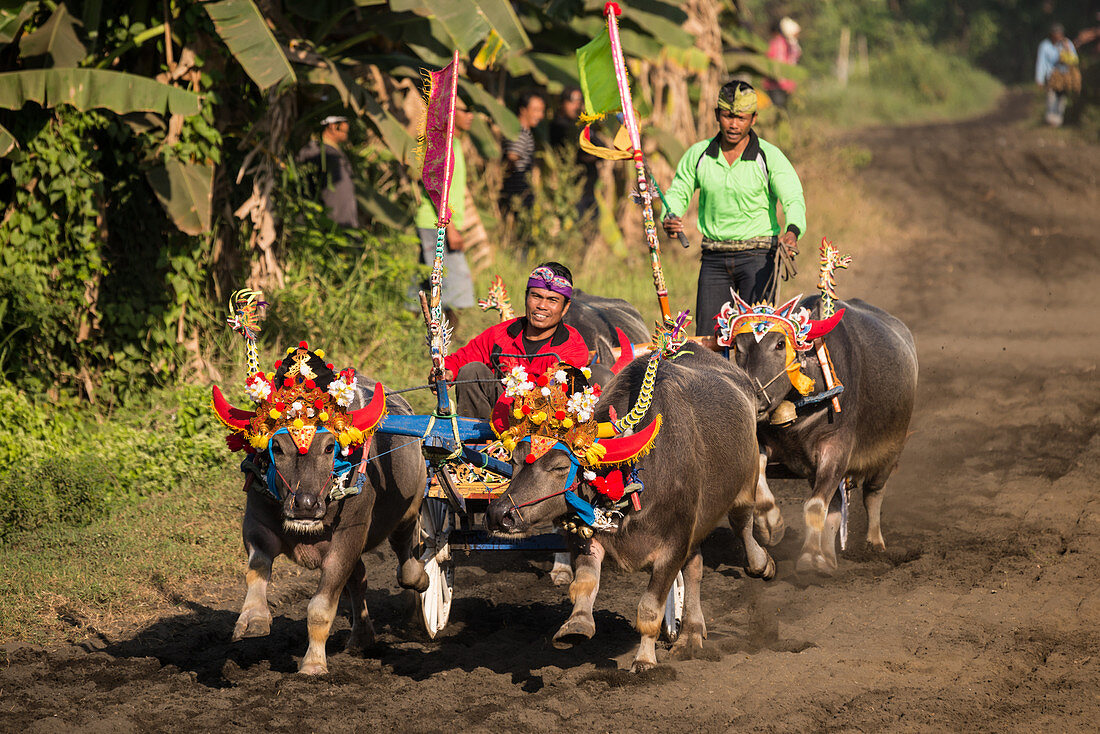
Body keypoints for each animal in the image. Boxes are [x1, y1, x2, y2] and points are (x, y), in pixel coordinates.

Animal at [212, 352, 426, 677]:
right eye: (277, 446)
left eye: (328, 447)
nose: (305, 504)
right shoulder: (257, 524)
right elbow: (256, 568)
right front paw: (254, 619)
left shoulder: (348, 537)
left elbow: (320, 607)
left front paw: (313, 663)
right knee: (360, 579)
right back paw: (361, 638)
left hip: (410, 507)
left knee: (407, 561)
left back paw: (420, 596)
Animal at [481, 349, 774, 673]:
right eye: (515, 460)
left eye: (559, 467)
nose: (499, 514)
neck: (634, 477)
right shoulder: (588, 536)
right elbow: (584, 583)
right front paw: (576, 626)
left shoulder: (674, 545)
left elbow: (650, 608)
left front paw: (644, 659)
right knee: (696, 568)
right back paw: (691, 634)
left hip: (745, 483)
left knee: (742, 524)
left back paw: (762, 563)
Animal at [721, 292, 919, 572]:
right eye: (738, 346)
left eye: (780, 344)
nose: (755, 398)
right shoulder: (765, 441)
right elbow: (759, 474)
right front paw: (770, 524)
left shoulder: (836, 449)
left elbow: (815, 506)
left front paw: (810, 556)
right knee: (835, 509)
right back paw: (828, 556)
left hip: (890, 452)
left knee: (873, 493)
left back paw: (874, 542)